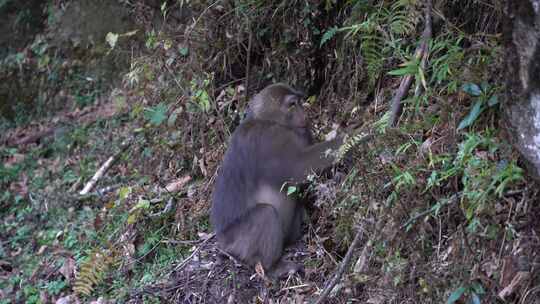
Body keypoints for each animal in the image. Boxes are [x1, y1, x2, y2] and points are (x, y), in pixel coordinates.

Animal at [209, 83, 344, 278]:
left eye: (300, 102)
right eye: (293, 104)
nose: (305, 114)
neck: (268, 120)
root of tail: (223, 244)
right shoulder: (270, 138)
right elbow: (298, 168)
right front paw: (356, 135)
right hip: (238, 244)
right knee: (266, 214)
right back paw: (272, 267)